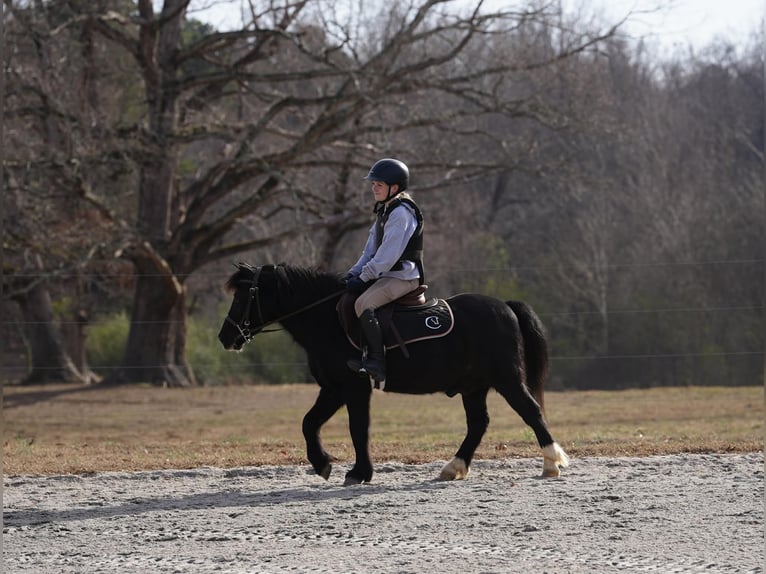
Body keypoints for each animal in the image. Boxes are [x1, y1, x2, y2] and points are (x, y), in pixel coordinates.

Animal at [218, 263, 569, 485]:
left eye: (244, 295)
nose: (225, 336)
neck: (328, 319)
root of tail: (504, 306)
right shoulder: (333, 388)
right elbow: (309, 422)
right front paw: (323, 463)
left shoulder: (353, 387)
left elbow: (358, 429)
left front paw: (359, 472)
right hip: (474, 386)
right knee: (478, 424)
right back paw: (453, 467)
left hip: (507, 379)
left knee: (531, 411)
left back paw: (551, 462)